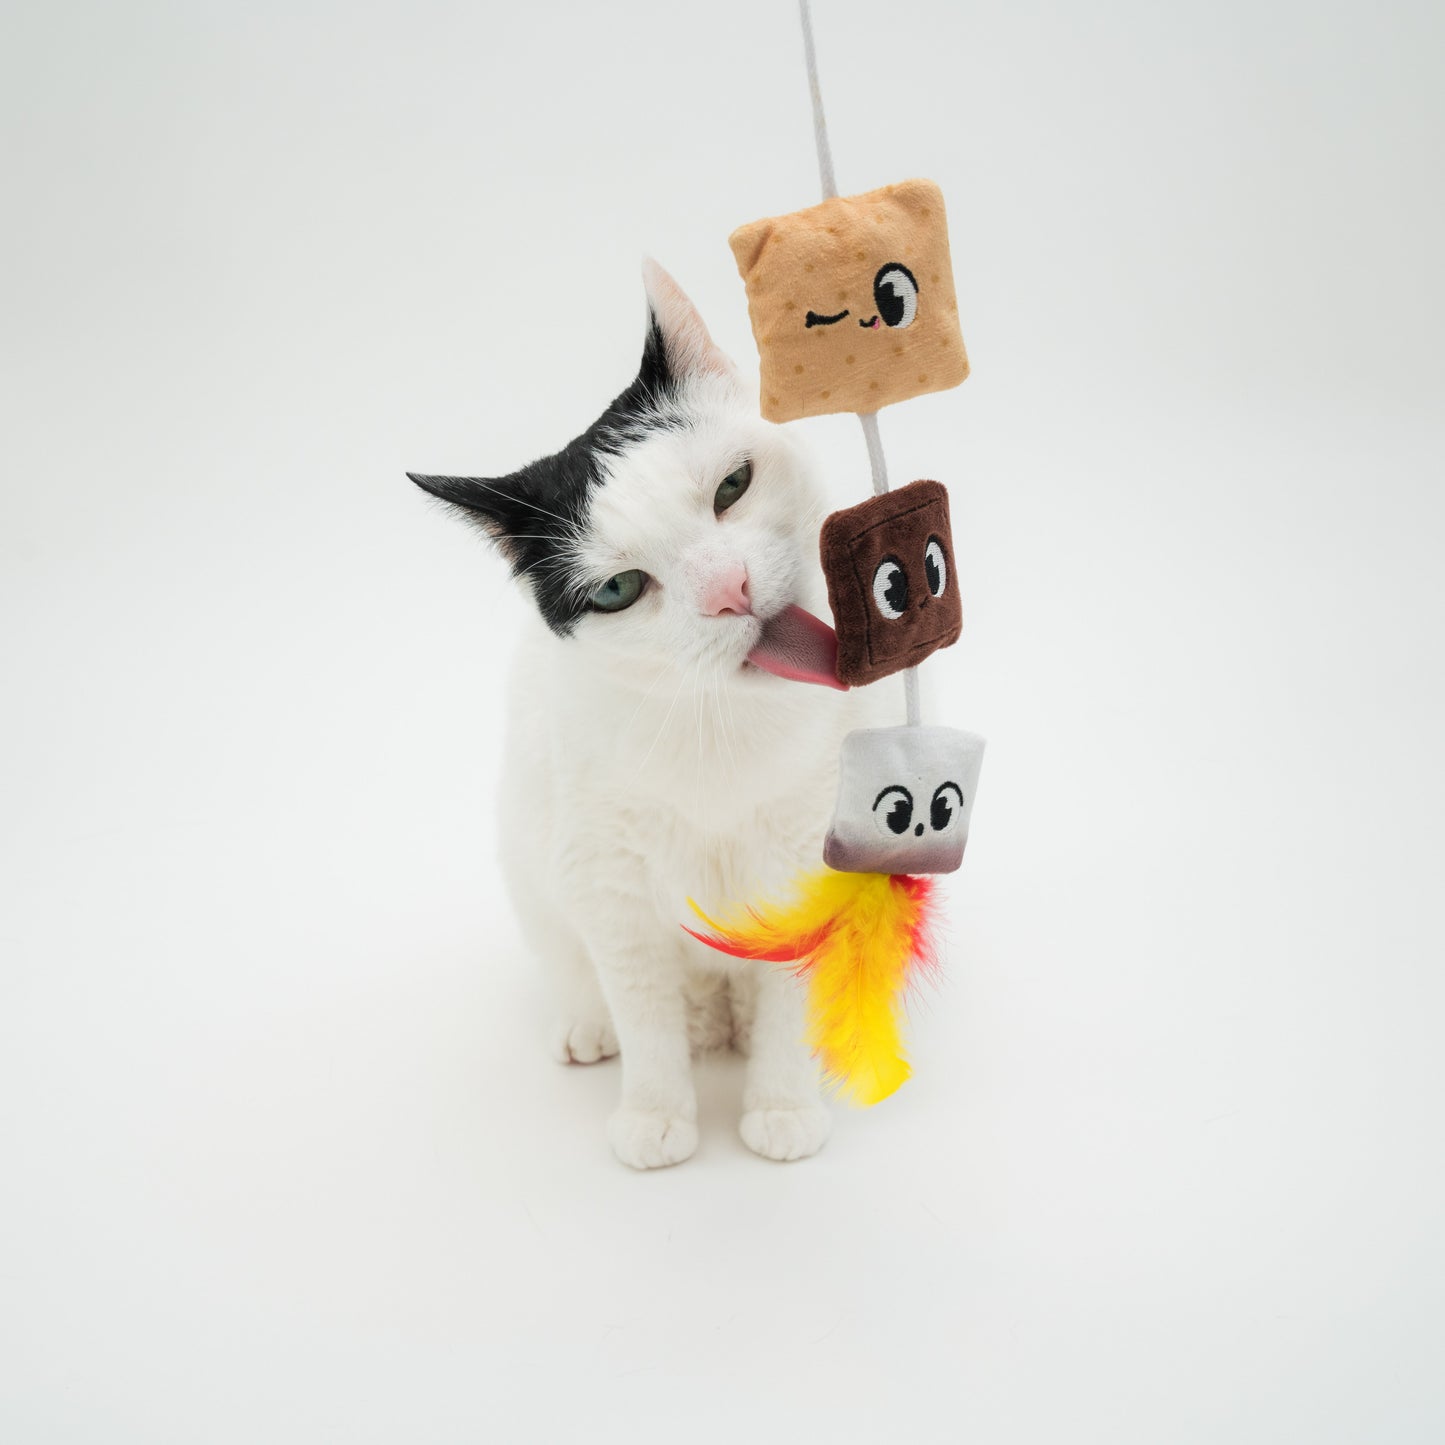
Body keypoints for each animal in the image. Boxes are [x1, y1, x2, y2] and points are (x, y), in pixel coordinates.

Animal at [410, 261, 881, 1168]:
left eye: (732, 486)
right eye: (618, 589)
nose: (729, 588)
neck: (723, 726)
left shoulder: (813, 864)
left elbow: (787, 1007)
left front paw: (781, 1104)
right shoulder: (610, 893)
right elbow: (645, 1016)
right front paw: (656, 1116)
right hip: (531, 869)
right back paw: (591, 1027)